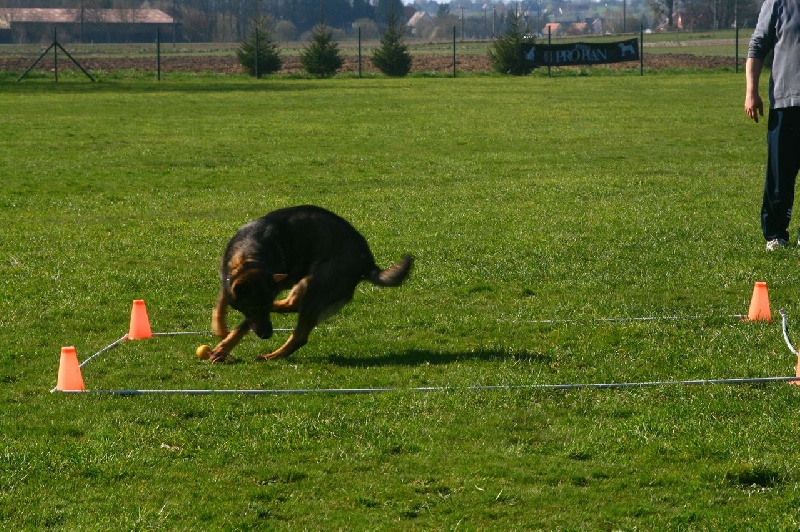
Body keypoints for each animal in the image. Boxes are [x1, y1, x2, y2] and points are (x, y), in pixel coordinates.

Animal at [208, 205, 412, 362]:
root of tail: (367, 261)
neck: (250, 257)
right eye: (252, 309)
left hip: (316, 288)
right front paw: (220, 327)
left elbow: (243, 324)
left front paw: (223, 348)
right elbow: (222, 303)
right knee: (292, 305)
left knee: (299, 334)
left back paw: (273, 355)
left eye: (260, 308)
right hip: (304, 283)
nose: (267, 335)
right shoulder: (229, 282)